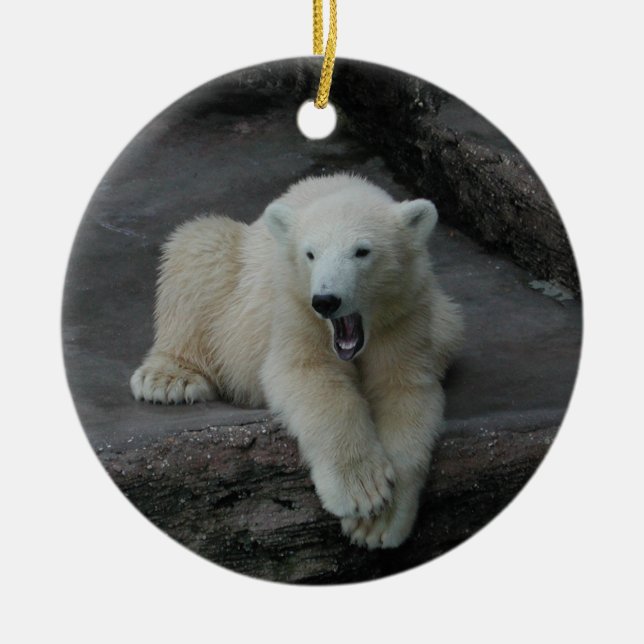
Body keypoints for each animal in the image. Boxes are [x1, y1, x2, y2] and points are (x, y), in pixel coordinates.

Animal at [130, 173, 463, 549]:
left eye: (362, 251)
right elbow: (309, 376)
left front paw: (379, 524)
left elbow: (404, 390)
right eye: (310, 254)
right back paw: (169, 379)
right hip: (232, 278)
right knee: (199, 249)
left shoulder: (406, 314)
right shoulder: (295, 308)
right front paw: (361, 491)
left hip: (445, 319)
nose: (327, 300)